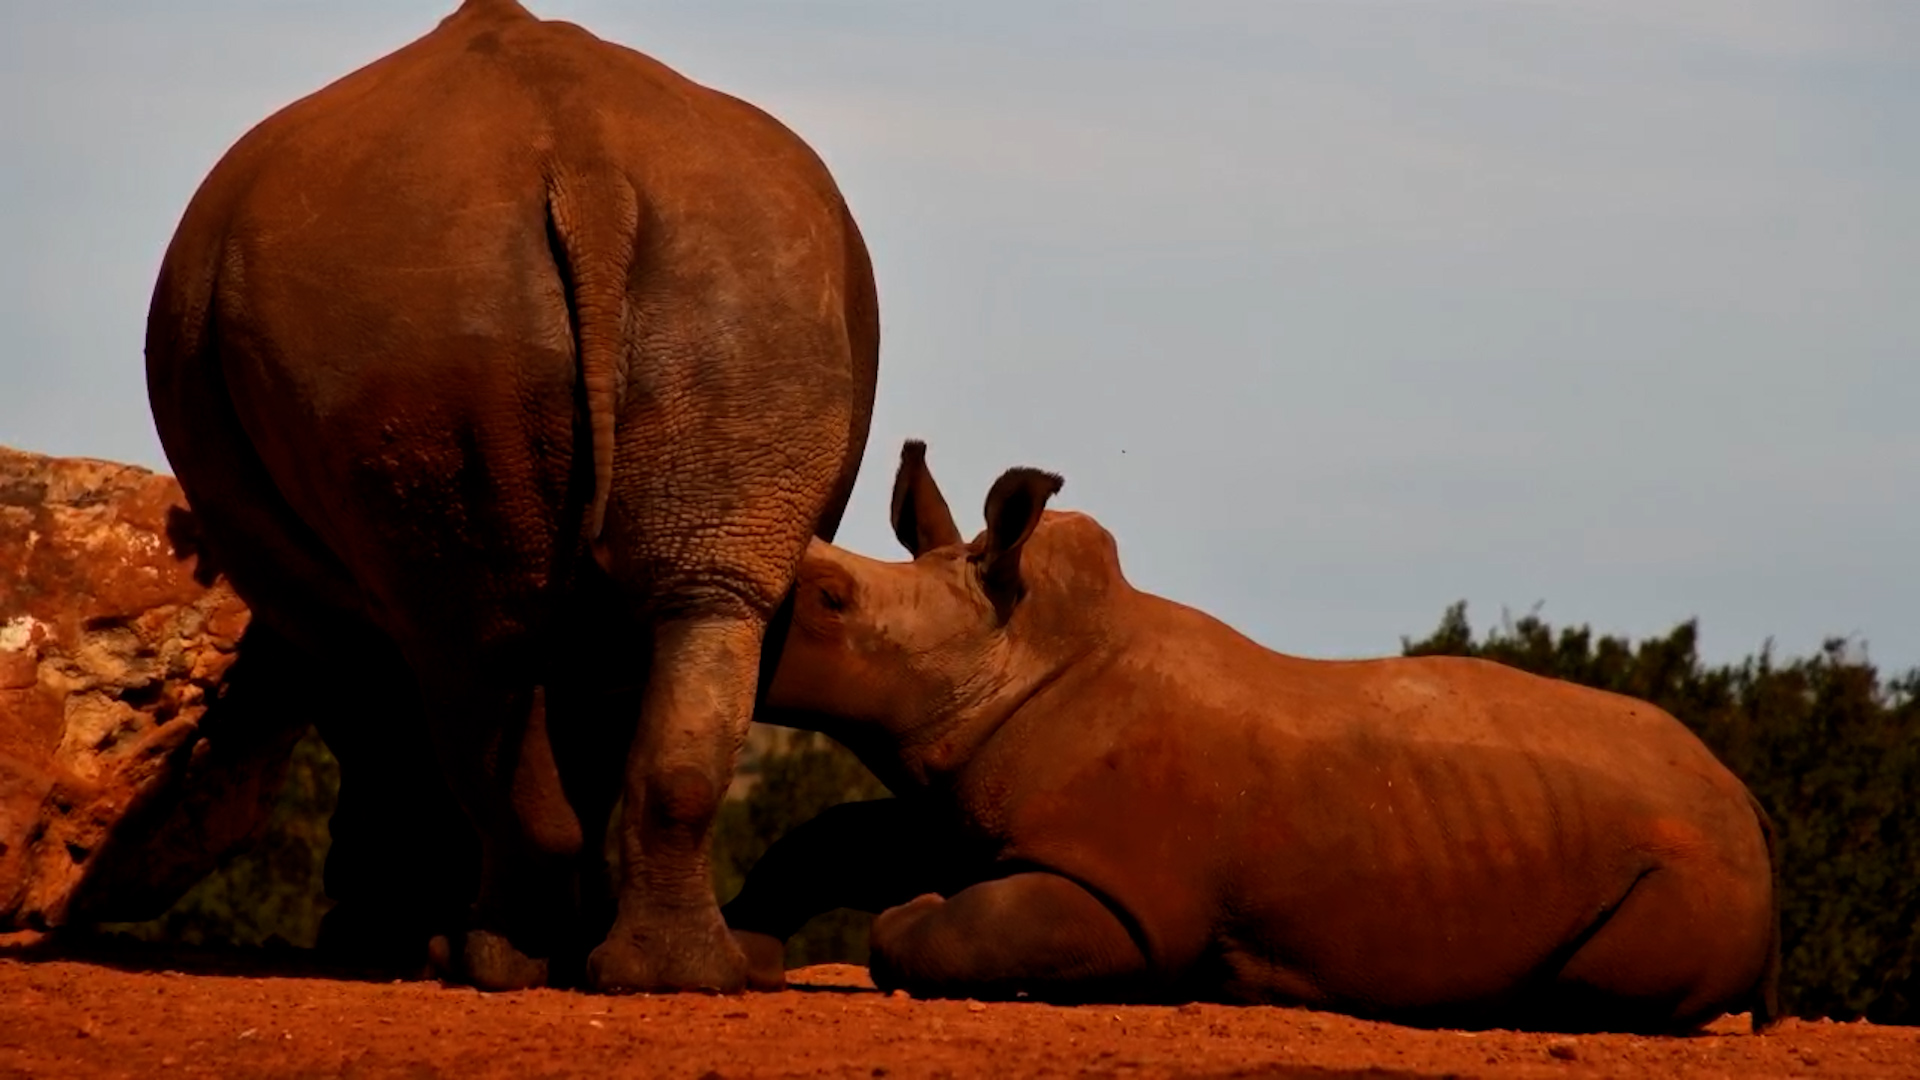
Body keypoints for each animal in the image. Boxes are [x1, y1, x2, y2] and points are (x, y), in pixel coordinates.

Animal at [145, 0, 878, 992]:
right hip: (748, 272)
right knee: (700, 606)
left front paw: (383, 935)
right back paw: (671, 974)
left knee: (477, 647)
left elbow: (382, 734)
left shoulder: (311, 601)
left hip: (420, 312)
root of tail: (589, 169)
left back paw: (491, 960)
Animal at [724, 442, 1781, 1033]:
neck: (1013, 652)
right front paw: (742, 947)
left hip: (1696, 862)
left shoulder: (1126, 894)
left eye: (830, 600)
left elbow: (941, 926)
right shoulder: (954, 800)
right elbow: (835, 838)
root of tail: (1742, 795)